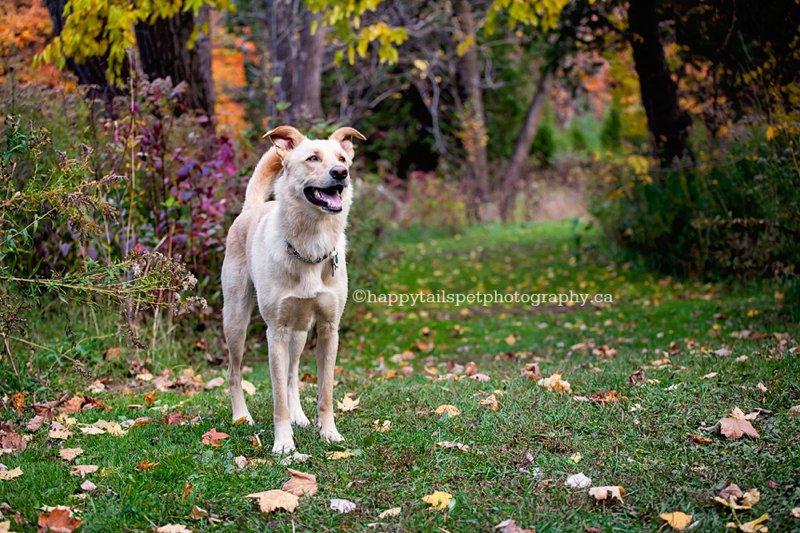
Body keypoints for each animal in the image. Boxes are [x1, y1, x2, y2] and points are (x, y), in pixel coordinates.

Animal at [222, 124, 366, 454]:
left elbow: (325, 392)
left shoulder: (329, 329)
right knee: (235, 372)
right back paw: (241, 417)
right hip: (236, 321)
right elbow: (278, 401)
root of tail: (253, 208)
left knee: (292, 374)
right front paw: (284, 444)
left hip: (300, 332)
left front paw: (329, 433)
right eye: (313, 158)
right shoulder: (276, 331)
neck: (312, 242)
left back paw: (300, 416)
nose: (341, 173)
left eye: (342, 158)